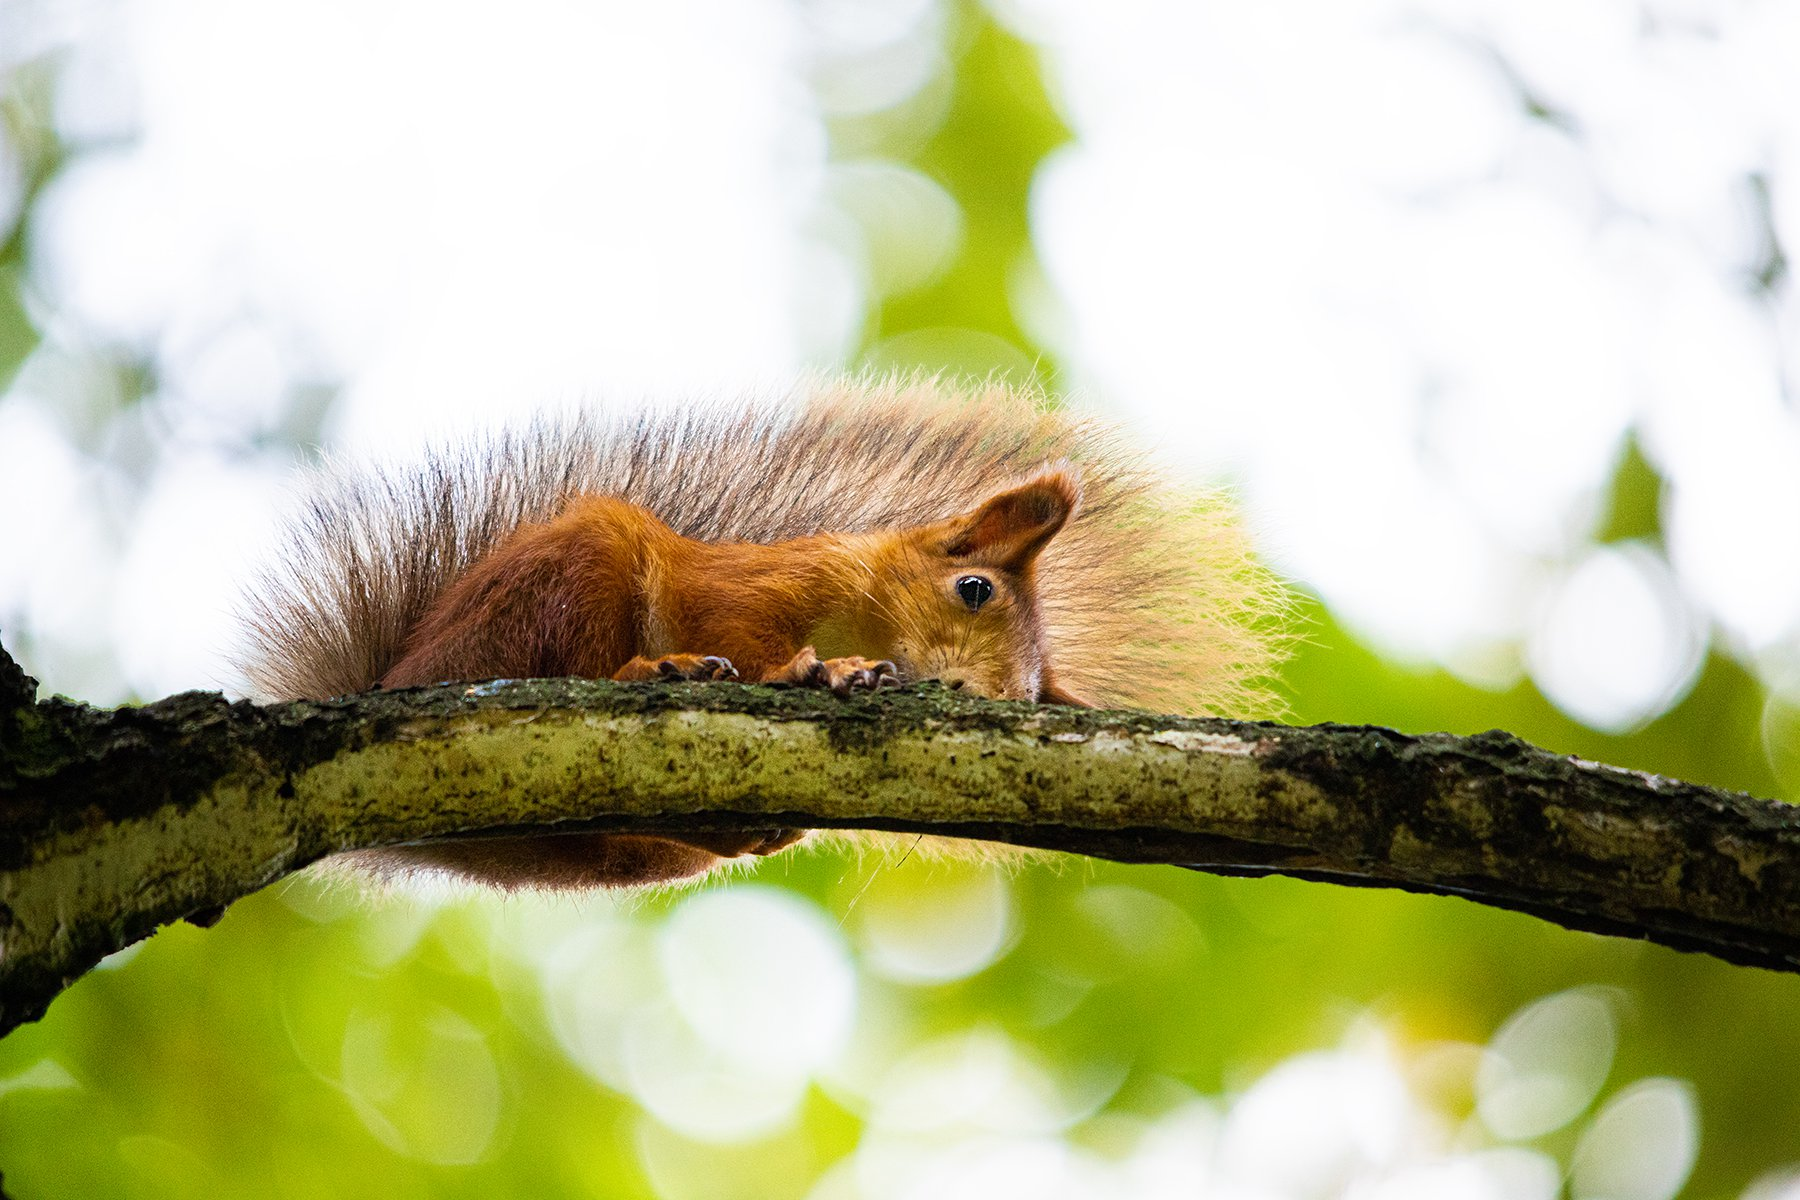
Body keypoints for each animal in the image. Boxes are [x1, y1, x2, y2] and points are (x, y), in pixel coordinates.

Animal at [239, 379, 1288, 888]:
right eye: (974, 587)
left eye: (1031, 695)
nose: (975, 697)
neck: (858, 600)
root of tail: (397, 675)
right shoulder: (758, 585)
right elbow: (741, 632)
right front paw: (808, 671)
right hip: (561, 587)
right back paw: (652, 668)